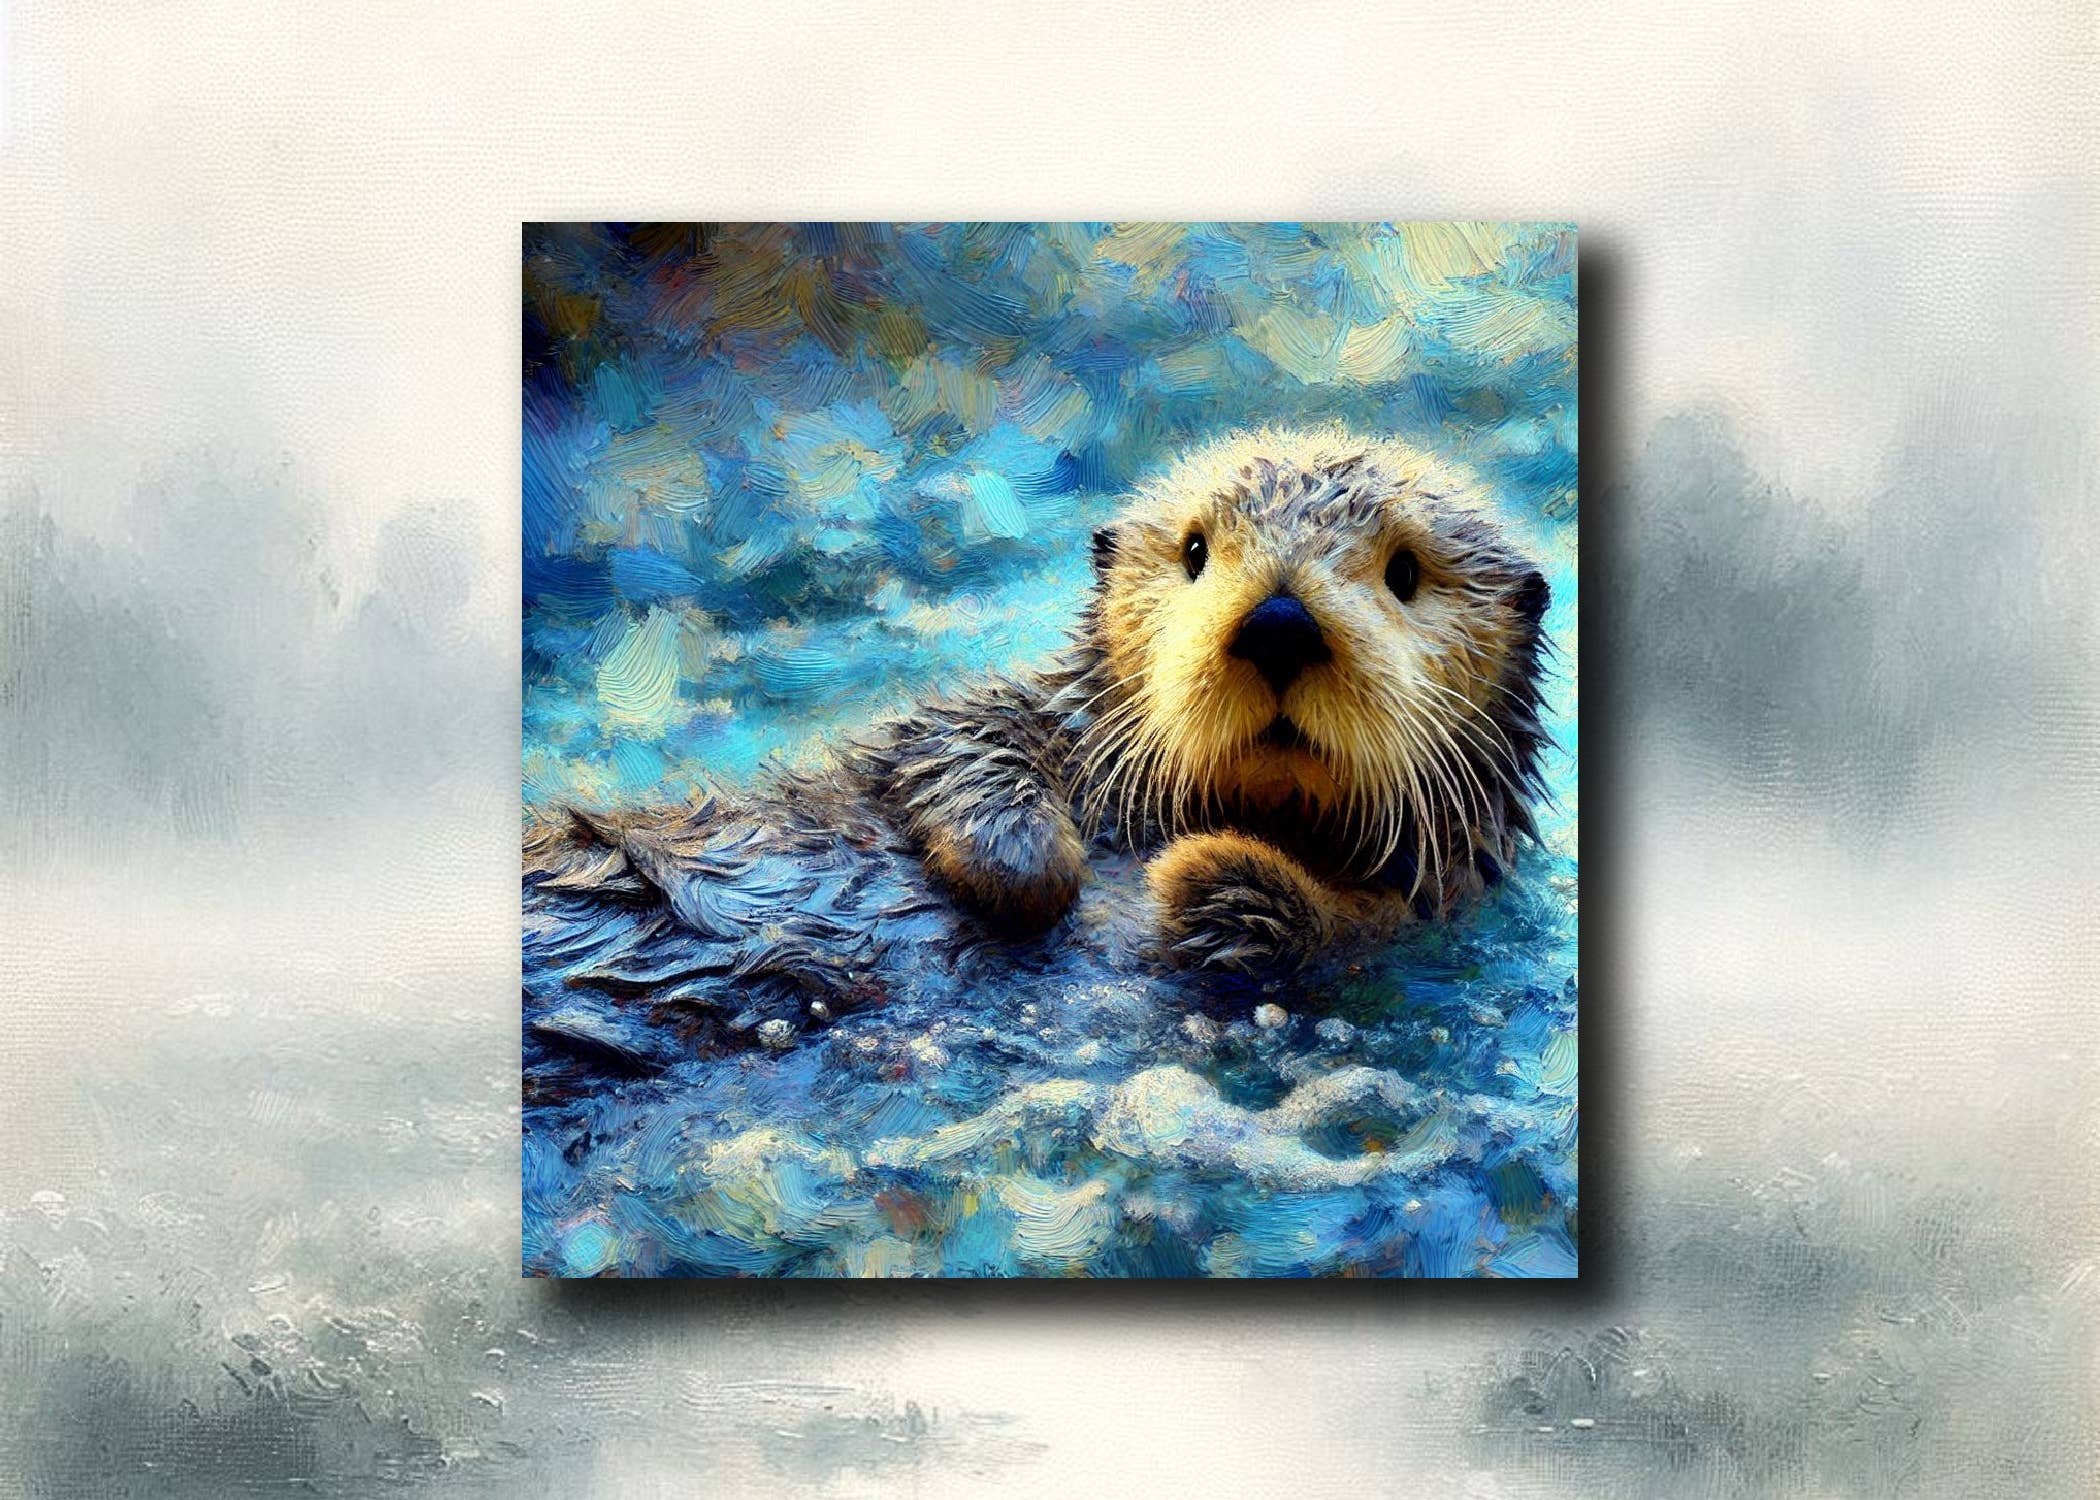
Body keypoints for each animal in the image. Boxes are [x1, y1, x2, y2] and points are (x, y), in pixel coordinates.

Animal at [524, 427, 1550, 1060]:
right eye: (1194, 551)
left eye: (1406, 572)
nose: (1281, 623)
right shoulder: (999, 722)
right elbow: (957, 743)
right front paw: (1032, 863)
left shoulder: (1421, 915)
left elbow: (1320, 928)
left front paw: (1202, 874)